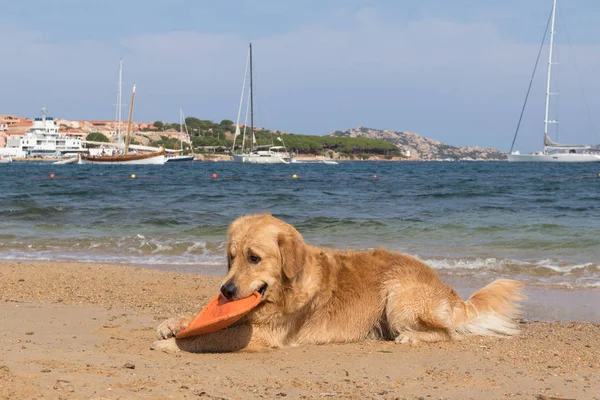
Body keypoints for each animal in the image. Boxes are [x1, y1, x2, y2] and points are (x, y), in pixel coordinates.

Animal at [151, 214, 524, 352]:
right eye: (231, 257)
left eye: (254, 258)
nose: (226, 291)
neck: (286, 290)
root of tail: (444, 285)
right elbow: (202, 322)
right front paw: (172, 323)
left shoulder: (262, 333)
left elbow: (213, 336)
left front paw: (174, 345)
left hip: (398, 296)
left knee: (446, 332)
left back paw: (411, 337)